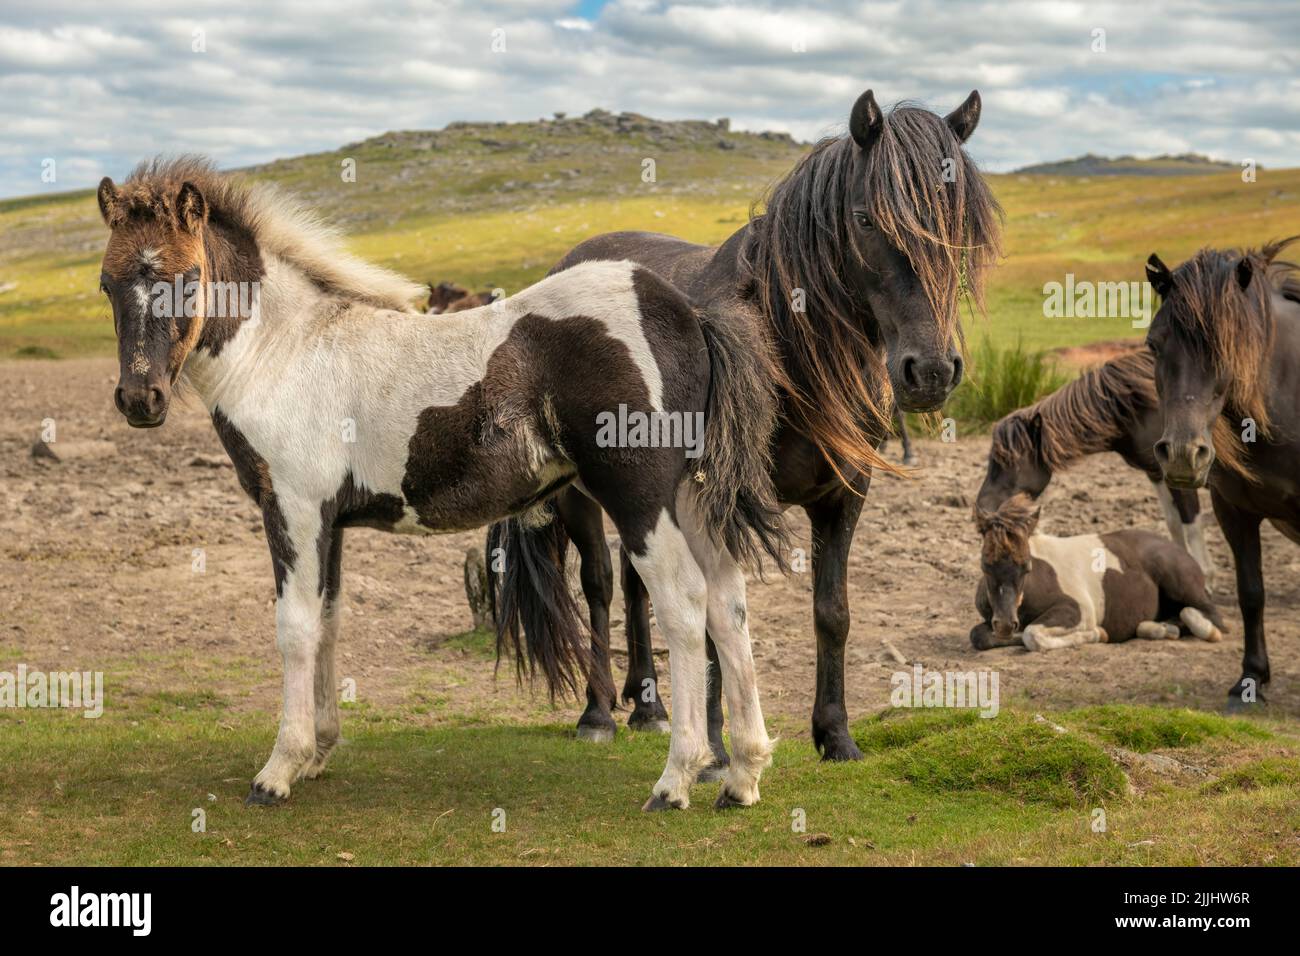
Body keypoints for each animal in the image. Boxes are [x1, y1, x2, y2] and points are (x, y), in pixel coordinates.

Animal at [95, 156, 787, 811]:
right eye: (106, 283)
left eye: (186, 279)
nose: (140, 399)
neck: (284, 351)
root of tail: (686, 313)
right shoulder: (329, 522)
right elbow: (329, 620)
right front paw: (319, 752)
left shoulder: (292, 507)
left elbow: (294, 627)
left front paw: (279, 770)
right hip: (689, 496)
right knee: (728, 601)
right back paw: (742, 778)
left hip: (639, 496)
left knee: (684, 602)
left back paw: (675, 780)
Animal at [491, 88, 1003, 766]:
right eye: (866, 220)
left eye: (962, 226)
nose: (932, 370)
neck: (783, 347)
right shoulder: (714, 499)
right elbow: (713, 623)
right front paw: (715, 750)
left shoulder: (844, 494)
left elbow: (832, 611)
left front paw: (835, 735)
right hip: (580, 494)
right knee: (599, 583)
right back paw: (599, 711)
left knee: (636, 582)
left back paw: (649, 705)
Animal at [972, 494, 1224, 651]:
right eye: (984, 565)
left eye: (1026, 568)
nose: (1005, 624)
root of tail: (1178, 549)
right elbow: (979, 636)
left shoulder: (1078, 609)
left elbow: (1031, 634)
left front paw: (1097, 634)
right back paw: (1161, 628)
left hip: (1181, 584)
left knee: (1209, 615)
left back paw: (1206, 630)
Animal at [975, 347, 1214, 588]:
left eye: (1009, 462)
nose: (981, 511)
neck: (1136, 407)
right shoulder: (1156, 474)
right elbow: (1174, 524)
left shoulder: (1183, 477)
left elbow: (1191, 525)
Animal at [1145, 238, 1300, 709]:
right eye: (1153, 345)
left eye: (1229, 347)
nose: (1181, 454)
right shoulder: (1234, 511)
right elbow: (1251, 593)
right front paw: (1251, 680)